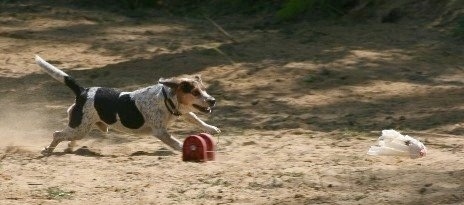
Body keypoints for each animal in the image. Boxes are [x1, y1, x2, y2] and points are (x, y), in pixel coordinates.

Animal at [35, 55, 220, 155]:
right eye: (195, 92)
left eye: (204, 90)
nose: (212, 100)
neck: (166, 98)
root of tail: (83, 91)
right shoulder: (160, 132)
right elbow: (175, 141)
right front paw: (186, 148)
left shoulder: (185, 113)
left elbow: (197, 120)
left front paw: (212, 129)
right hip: (79, 128)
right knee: (57, 134)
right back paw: (48, 150)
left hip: (81, 128)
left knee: (68, 137)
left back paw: (69, 148)